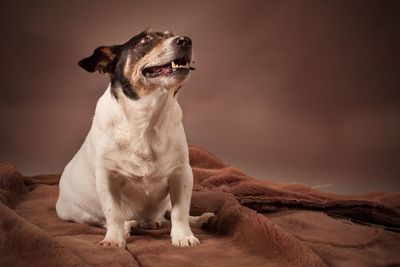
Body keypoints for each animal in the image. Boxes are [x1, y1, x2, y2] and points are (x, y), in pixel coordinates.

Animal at [55, 28, 216, 249]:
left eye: (172, 34)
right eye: (145, 39)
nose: (185, 40)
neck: (147, 118)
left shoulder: (182, 174)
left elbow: (180, 211)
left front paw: (183, 235)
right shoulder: (107, 178)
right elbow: (113, 213)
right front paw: (114, 239)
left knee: (167, 213)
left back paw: (196, 220)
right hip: (76, 212)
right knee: (102, 219)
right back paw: (129, 226)